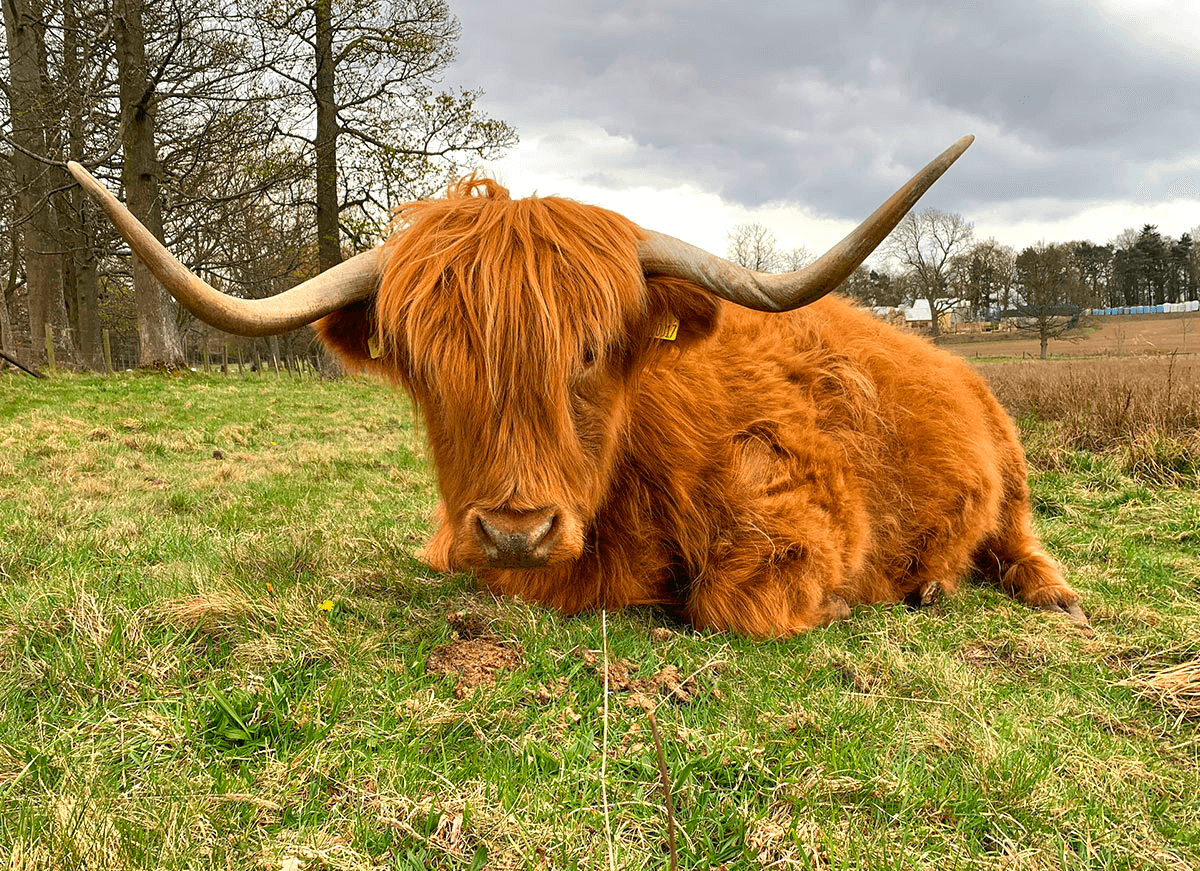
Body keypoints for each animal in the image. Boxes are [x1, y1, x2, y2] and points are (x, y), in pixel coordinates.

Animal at [68, 136, 1089, 637]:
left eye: (593, 351)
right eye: (428, 364)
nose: (517, 529)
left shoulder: (807, 516)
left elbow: (733, 605)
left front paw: (840, 602)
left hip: (1011, 472)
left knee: (1019, 543)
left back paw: (1011, 592)